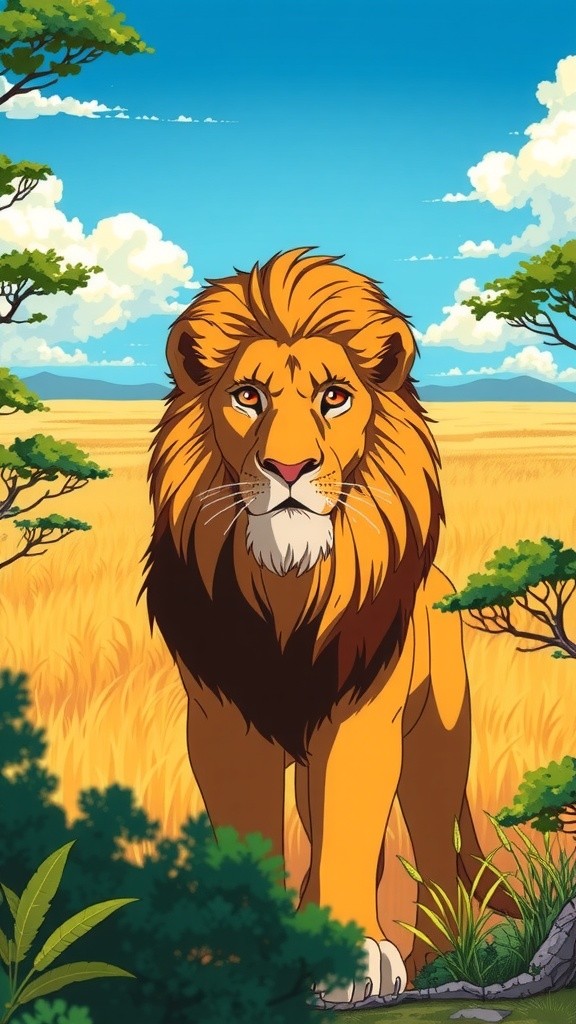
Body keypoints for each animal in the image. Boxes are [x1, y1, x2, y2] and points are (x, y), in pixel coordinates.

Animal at [143, 248, 517, 1002]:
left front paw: (356, 957)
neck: (288, 583)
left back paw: (436, 963)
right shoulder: (221, 720)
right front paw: (246, 956)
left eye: (334, 397)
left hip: (436, 740)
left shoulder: (361, 716)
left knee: (433, 852)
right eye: (247, 397)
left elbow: (352, 825)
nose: (288, 466)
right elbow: (251, 834)